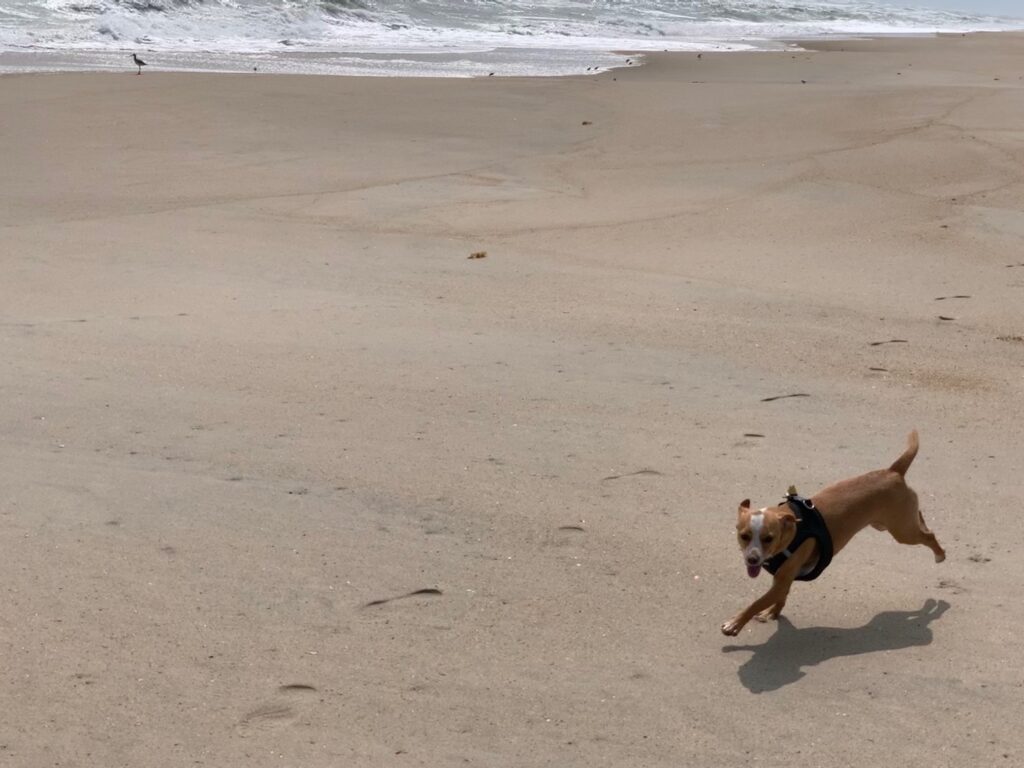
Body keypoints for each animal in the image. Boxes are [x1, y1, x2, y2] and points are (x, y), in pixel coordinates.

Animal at [720, 434, 942, 638]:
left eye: (769, 538)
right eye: (744, 536)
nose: (752, 558)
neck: (791, 529)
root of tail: (893, 471)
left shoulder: (782, 581)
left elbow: (756, 603)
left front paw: (735, 623)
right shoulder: (783, 581)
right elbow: (779, 598)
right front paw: (772, 612)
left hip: (903, 532)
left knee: (929, 536)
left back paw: (940, 555)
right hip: (895, 523)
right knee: (921, 520)